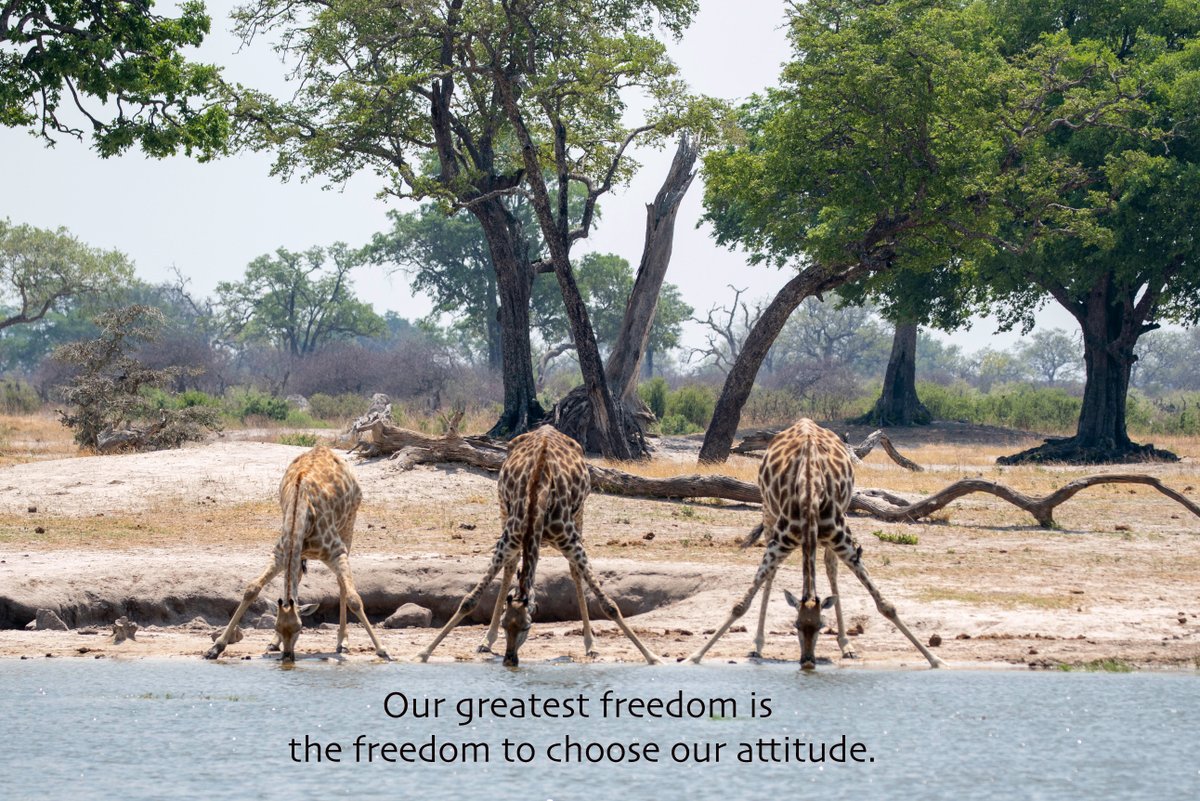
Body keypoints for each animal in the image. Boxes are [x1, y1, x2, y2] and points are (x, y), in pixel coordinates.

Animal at [204, 446, 389, 662]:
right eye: (277, 626)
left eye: (300, 628)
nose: (287, 656)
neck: (301, 512)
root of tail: (325, 448)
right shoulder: (280, 554)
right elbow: (251, 589)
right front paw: (216, 647)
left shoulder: (336, 551)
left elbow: (354, 599)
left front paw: (382, 650)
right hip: (300, 553)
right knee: (298, 578)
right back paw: (274, 643)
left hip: (348, 525)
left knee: (342, 584)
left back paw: (342, 642)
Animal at [416, 424, 662, 666]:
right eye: (506, 625)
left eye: (527, 627)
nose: (510, 660)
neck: (538, 497)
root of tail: (547, 428)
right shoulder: (508, 539)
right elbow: (469, 600)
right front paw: (423, 653)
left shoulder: (571, 542)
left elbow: (609, 605)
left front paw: (652, 656)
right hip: (503, 509)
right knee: (511, 565)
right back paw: (487, 640)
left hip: (579, 515)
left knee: (574, 572)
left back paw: (591, 645)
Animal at [688, 418, 942, 669]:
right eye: (796, 626)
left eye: (821, 626)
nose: (808, 661)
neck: (809, 494)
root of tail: (805, 421)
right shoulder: (779, 542)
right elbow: (741, 604)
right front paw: (695, 656)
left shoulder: (844, 541)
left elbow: (885, 605)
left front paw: (935, 659)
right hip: (769, 514)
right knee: (772, 574)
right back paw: (757, 645)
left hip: (840, 519)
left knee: (831, 567)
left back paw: (846, 646)